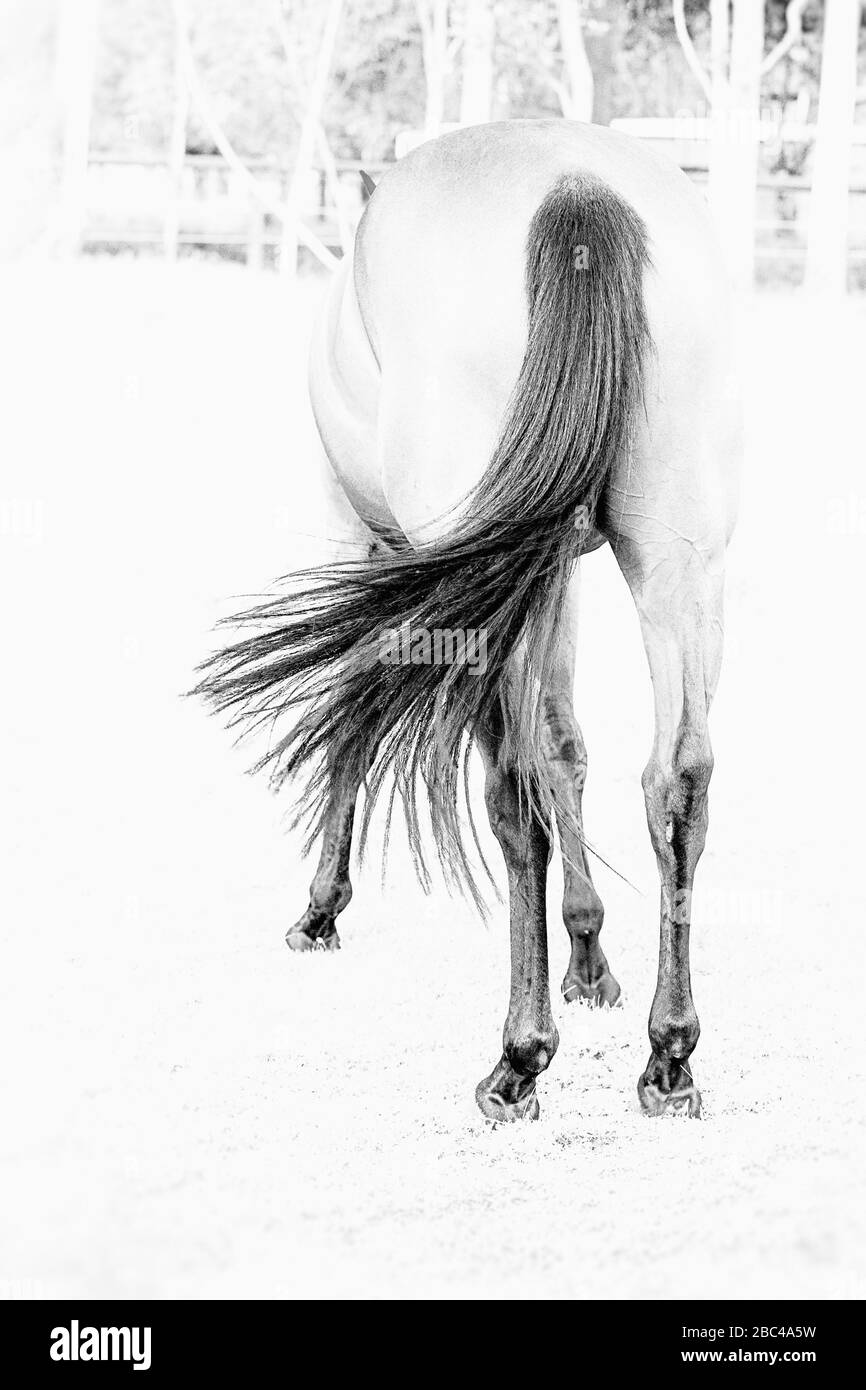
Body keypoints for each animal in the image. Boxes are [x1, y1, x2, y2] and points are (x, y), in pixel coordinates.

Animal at [196, 119, 741, 1122]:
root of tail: (575, 189)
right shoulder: (552, 571)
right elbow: (568, 745)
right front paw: (589, 953)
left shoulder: (369, 546)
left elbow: (355, 716)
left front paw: (321, 904)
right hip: (679, 563)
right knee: (677, 779)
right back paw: (670, 1057)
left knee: (511, 791)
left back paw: (519, 1059)